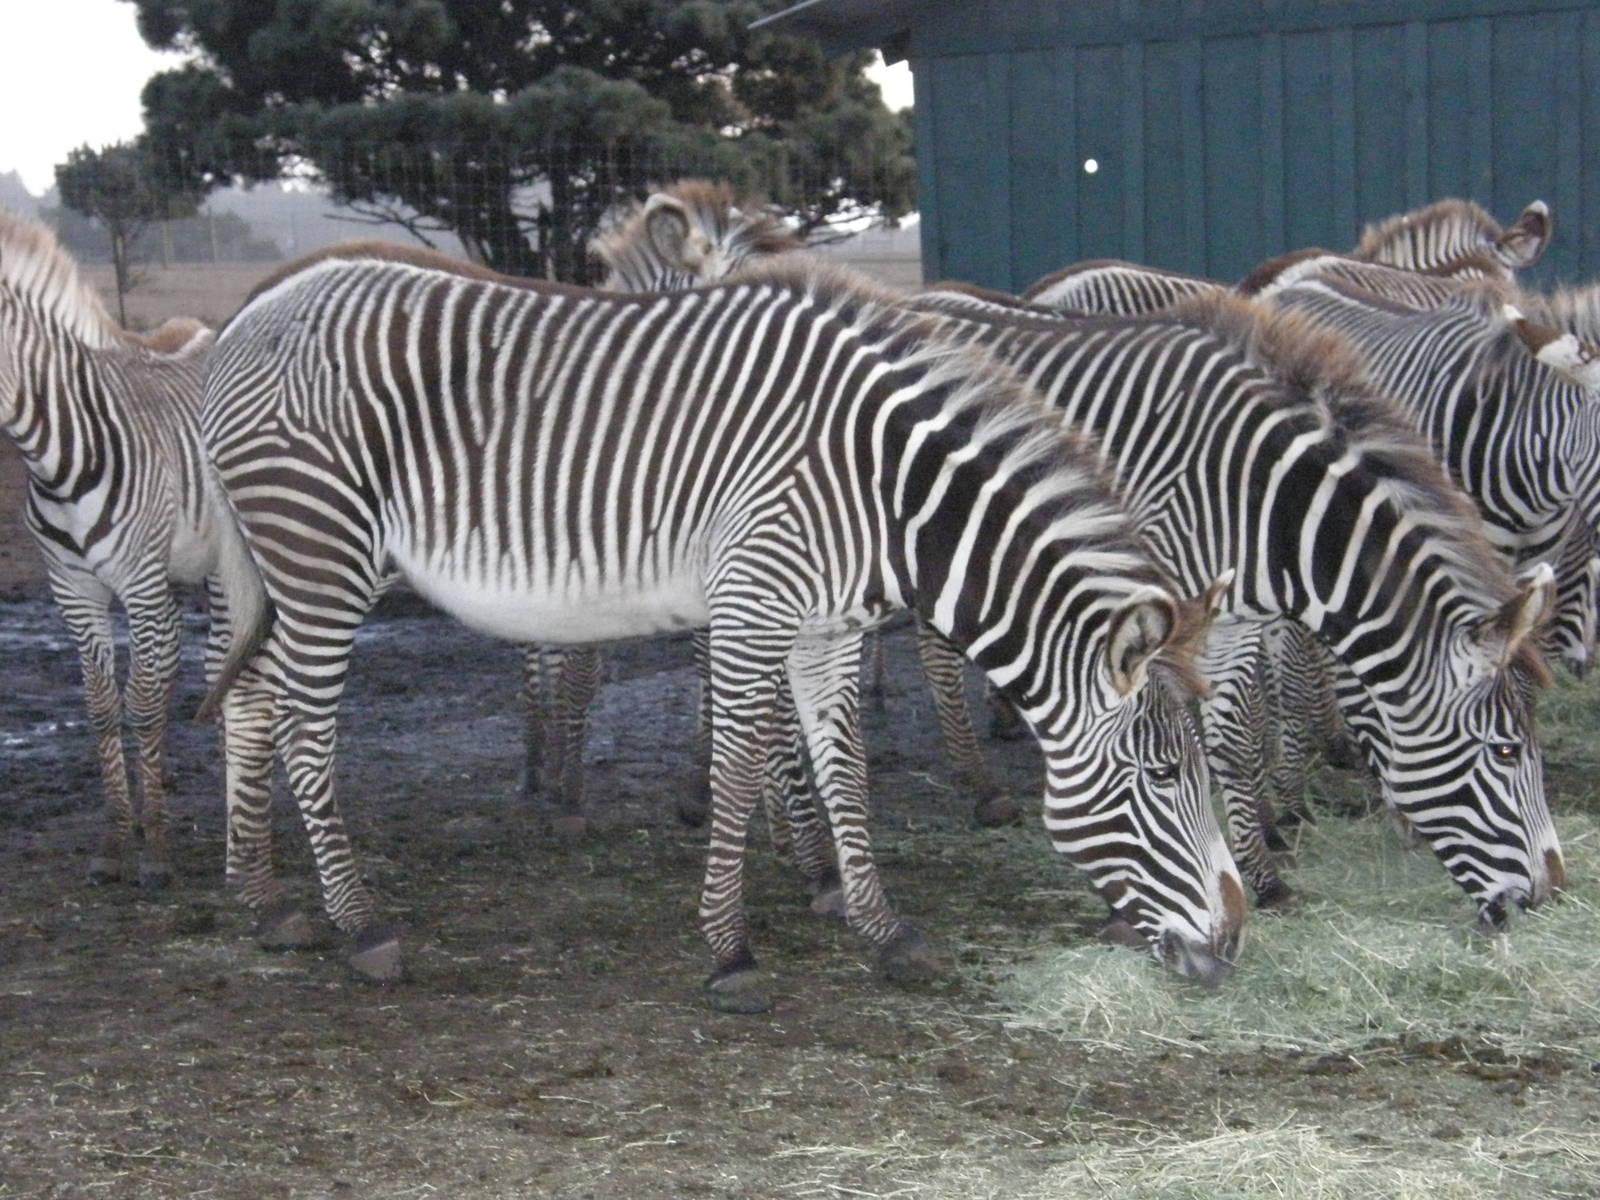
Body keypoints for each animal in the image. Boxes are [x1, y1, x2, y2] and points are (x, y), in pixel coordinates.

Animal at [0, 209, 247, 889]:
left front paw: (155, 843)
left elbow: (139, 701)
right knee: (188, 662)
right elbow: (103, 705)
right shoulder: (73, 591)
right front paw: (118, 835)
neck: (58, 458)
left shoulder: (138, 583)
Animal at [196, 246, 1245, 1007]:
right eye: (1163, 775)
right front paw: (731, 949)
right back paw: (362, 926)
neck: (888, 491)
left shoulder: (827, 627)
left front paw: (882, 929)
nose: (1235, 939)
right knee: (301, 725)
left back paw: (268, 905)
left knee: (247, 700)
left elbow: (843, 766)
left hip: (301, 561)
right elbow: (739, 764)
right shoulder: (752, 603)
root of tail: (250, 308)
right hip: (319, 546)